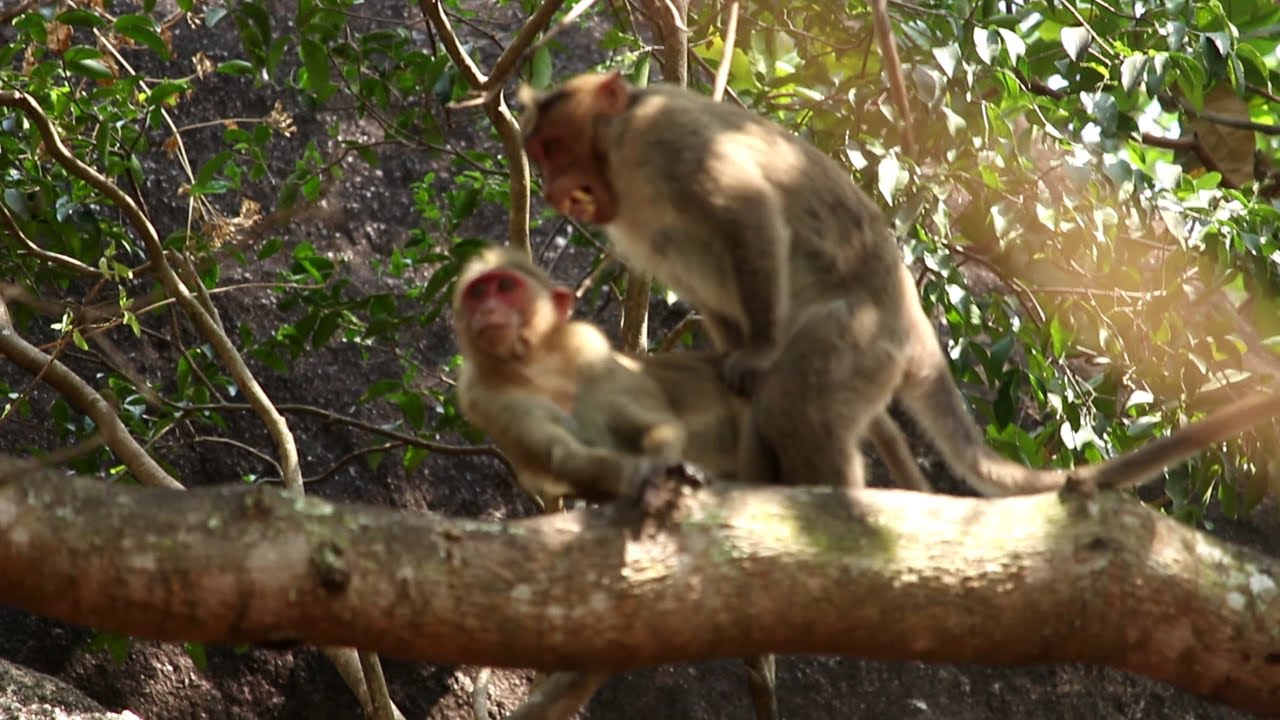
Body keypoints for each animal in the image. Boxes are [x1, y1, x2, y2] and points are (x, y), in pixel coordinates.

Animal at [518, 72, 1280, 497]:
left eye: (553, 149)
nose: (552, 191)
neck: (618, 155)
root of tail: (915, 332)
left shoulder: (663, 140)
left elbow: (748, 213)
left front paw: (755, 351)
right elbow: (704, 289)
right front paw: (729, 355)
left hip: (861, 342)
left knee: (801, 398)